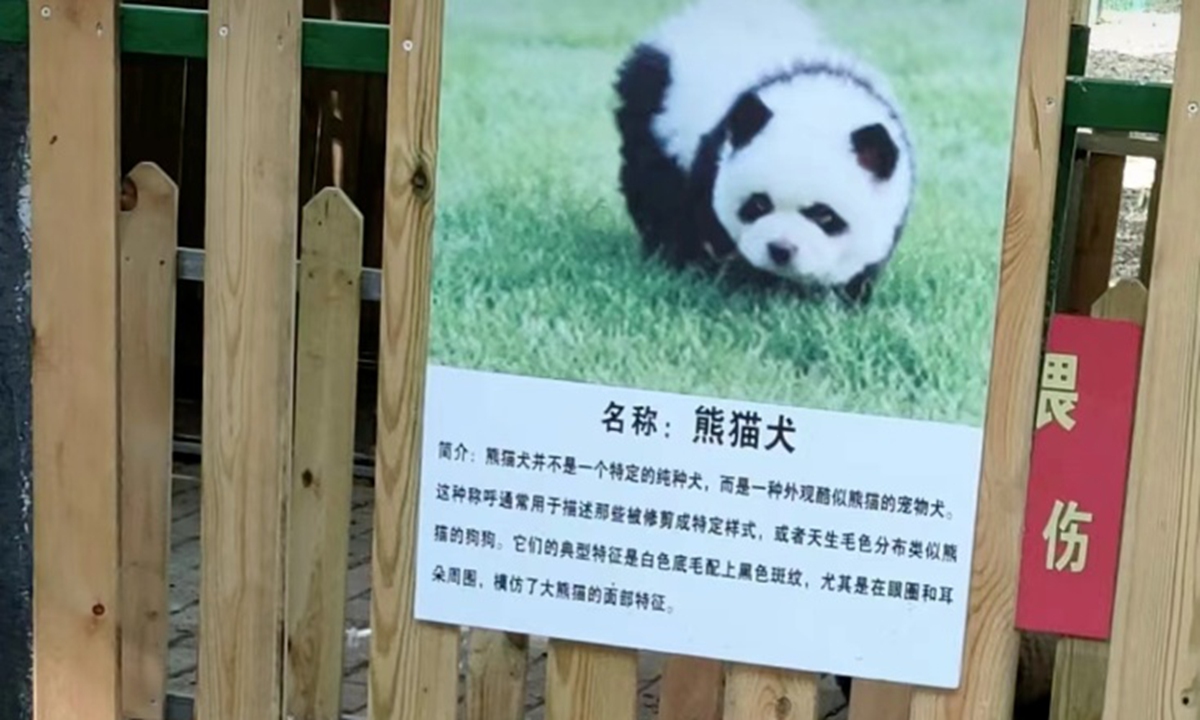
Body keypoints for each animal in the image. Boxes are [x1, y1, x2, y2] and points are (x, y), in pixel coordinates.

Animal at [614, 0, 912, 303]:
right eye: (759, 204)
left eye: (824, 215)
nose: (781, 250)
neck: (819, 105)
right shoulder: (712, 163)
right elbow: (710, 228)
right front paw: (745, 285)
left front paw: (843, 298)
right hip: (654, 115)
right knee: (655, 189)